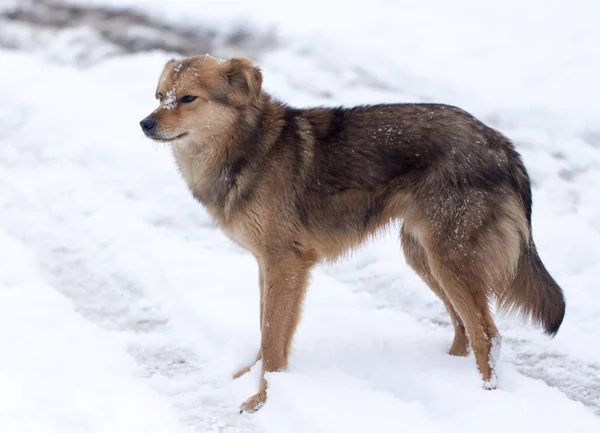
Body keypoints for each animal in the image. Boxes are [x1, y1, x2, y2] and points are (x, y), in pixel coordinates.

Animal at [139, 54, 568, 412]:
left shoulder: (286, 264)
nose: (145, 123)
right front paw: (251, 379)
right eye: (160, 96)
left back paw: (486, 400)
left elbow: (273, 340)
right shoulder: (268, 266)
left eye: (188, 98)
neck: (248, 148)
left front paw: (263, 400)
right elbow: (266, 332)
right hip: (424, 257)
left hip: (449, 261)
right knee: (464, 327)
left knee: (487, 335)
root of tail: (502, 145)